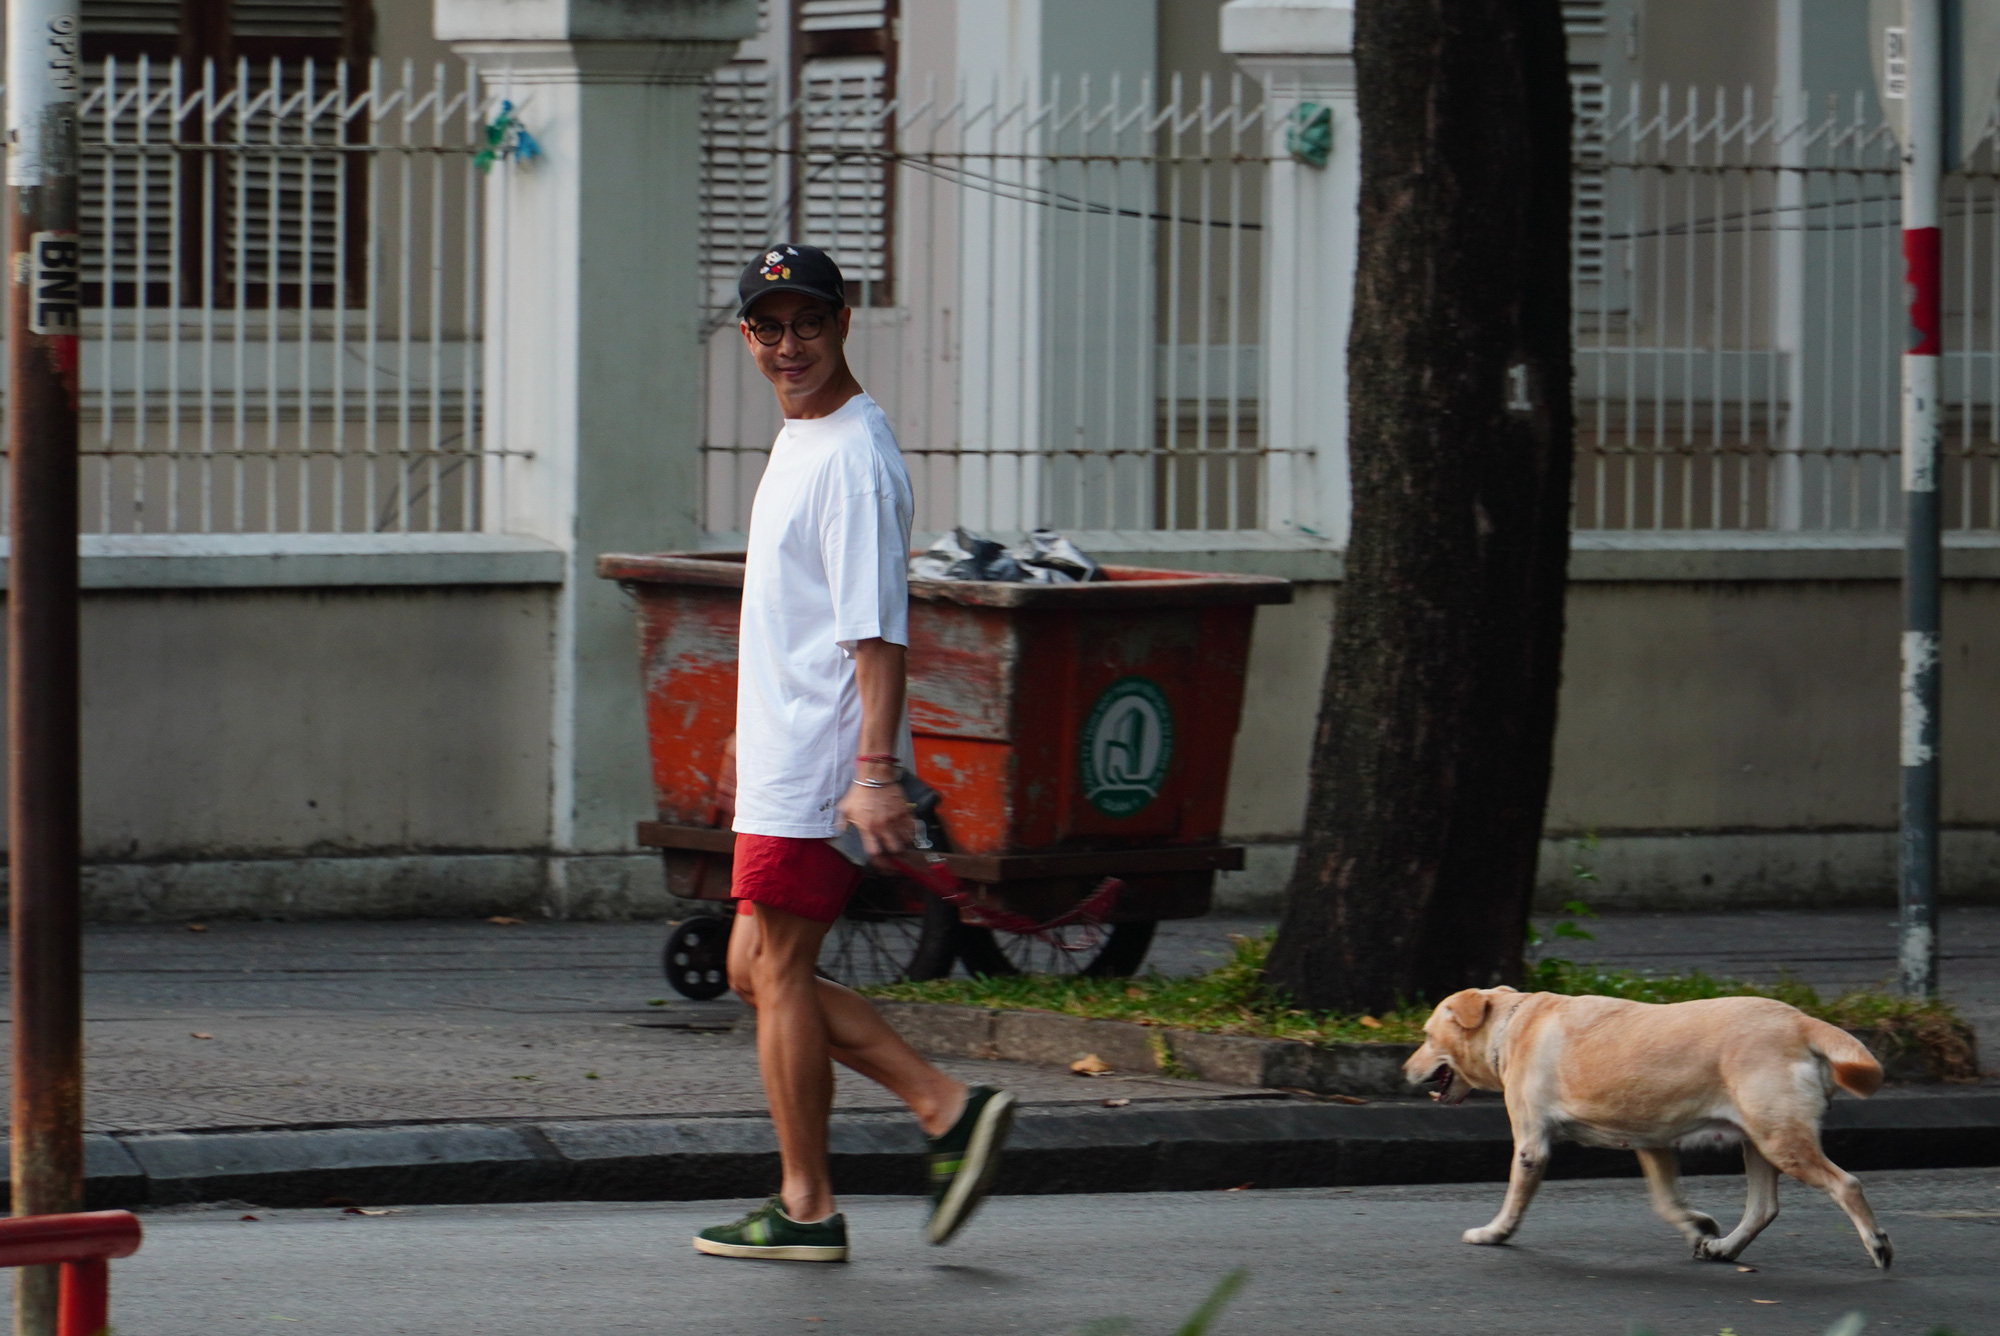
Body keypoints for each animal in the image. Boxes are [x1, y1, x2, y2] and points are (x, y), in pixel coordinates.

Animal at [1408, 988, 1888, 1272]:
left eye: (1427, 1036)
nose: (1404, 1069)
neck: (1511, 1023)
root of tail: (1800, 1021)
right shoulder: (1652, 1142)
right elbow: (1667, 1200)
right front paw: (1697, 1226)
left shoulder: (1531, 1145)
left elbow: (1514, 1201)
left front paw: (1493, 1234)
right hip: (1760, 1140)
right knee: (1763, 1208)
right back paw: (1724, 1248)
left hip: (1781, 1140)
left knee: (1846, 1184)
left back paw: (1878, 1245)